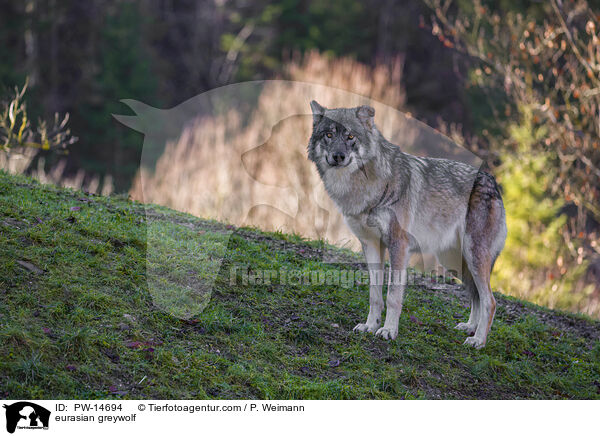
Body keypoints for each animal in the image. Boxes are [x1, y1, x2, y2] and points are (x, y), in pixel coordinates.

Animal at [310, 100, 506, 350]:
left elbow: (393, 295)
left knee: (490, 301)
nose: (338, 156)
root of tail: (492, 181)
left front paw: (388, 331)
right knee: (476, 296)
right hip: (455, 262)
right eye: (328, 135)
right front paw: (370, 326)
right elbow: (375, 294)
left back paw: (478, 341)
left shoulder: (398, 246)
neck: (367, 186)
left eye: (351, 136)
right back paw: (469, 328)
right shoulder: (371, 245)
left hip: (473, 256)